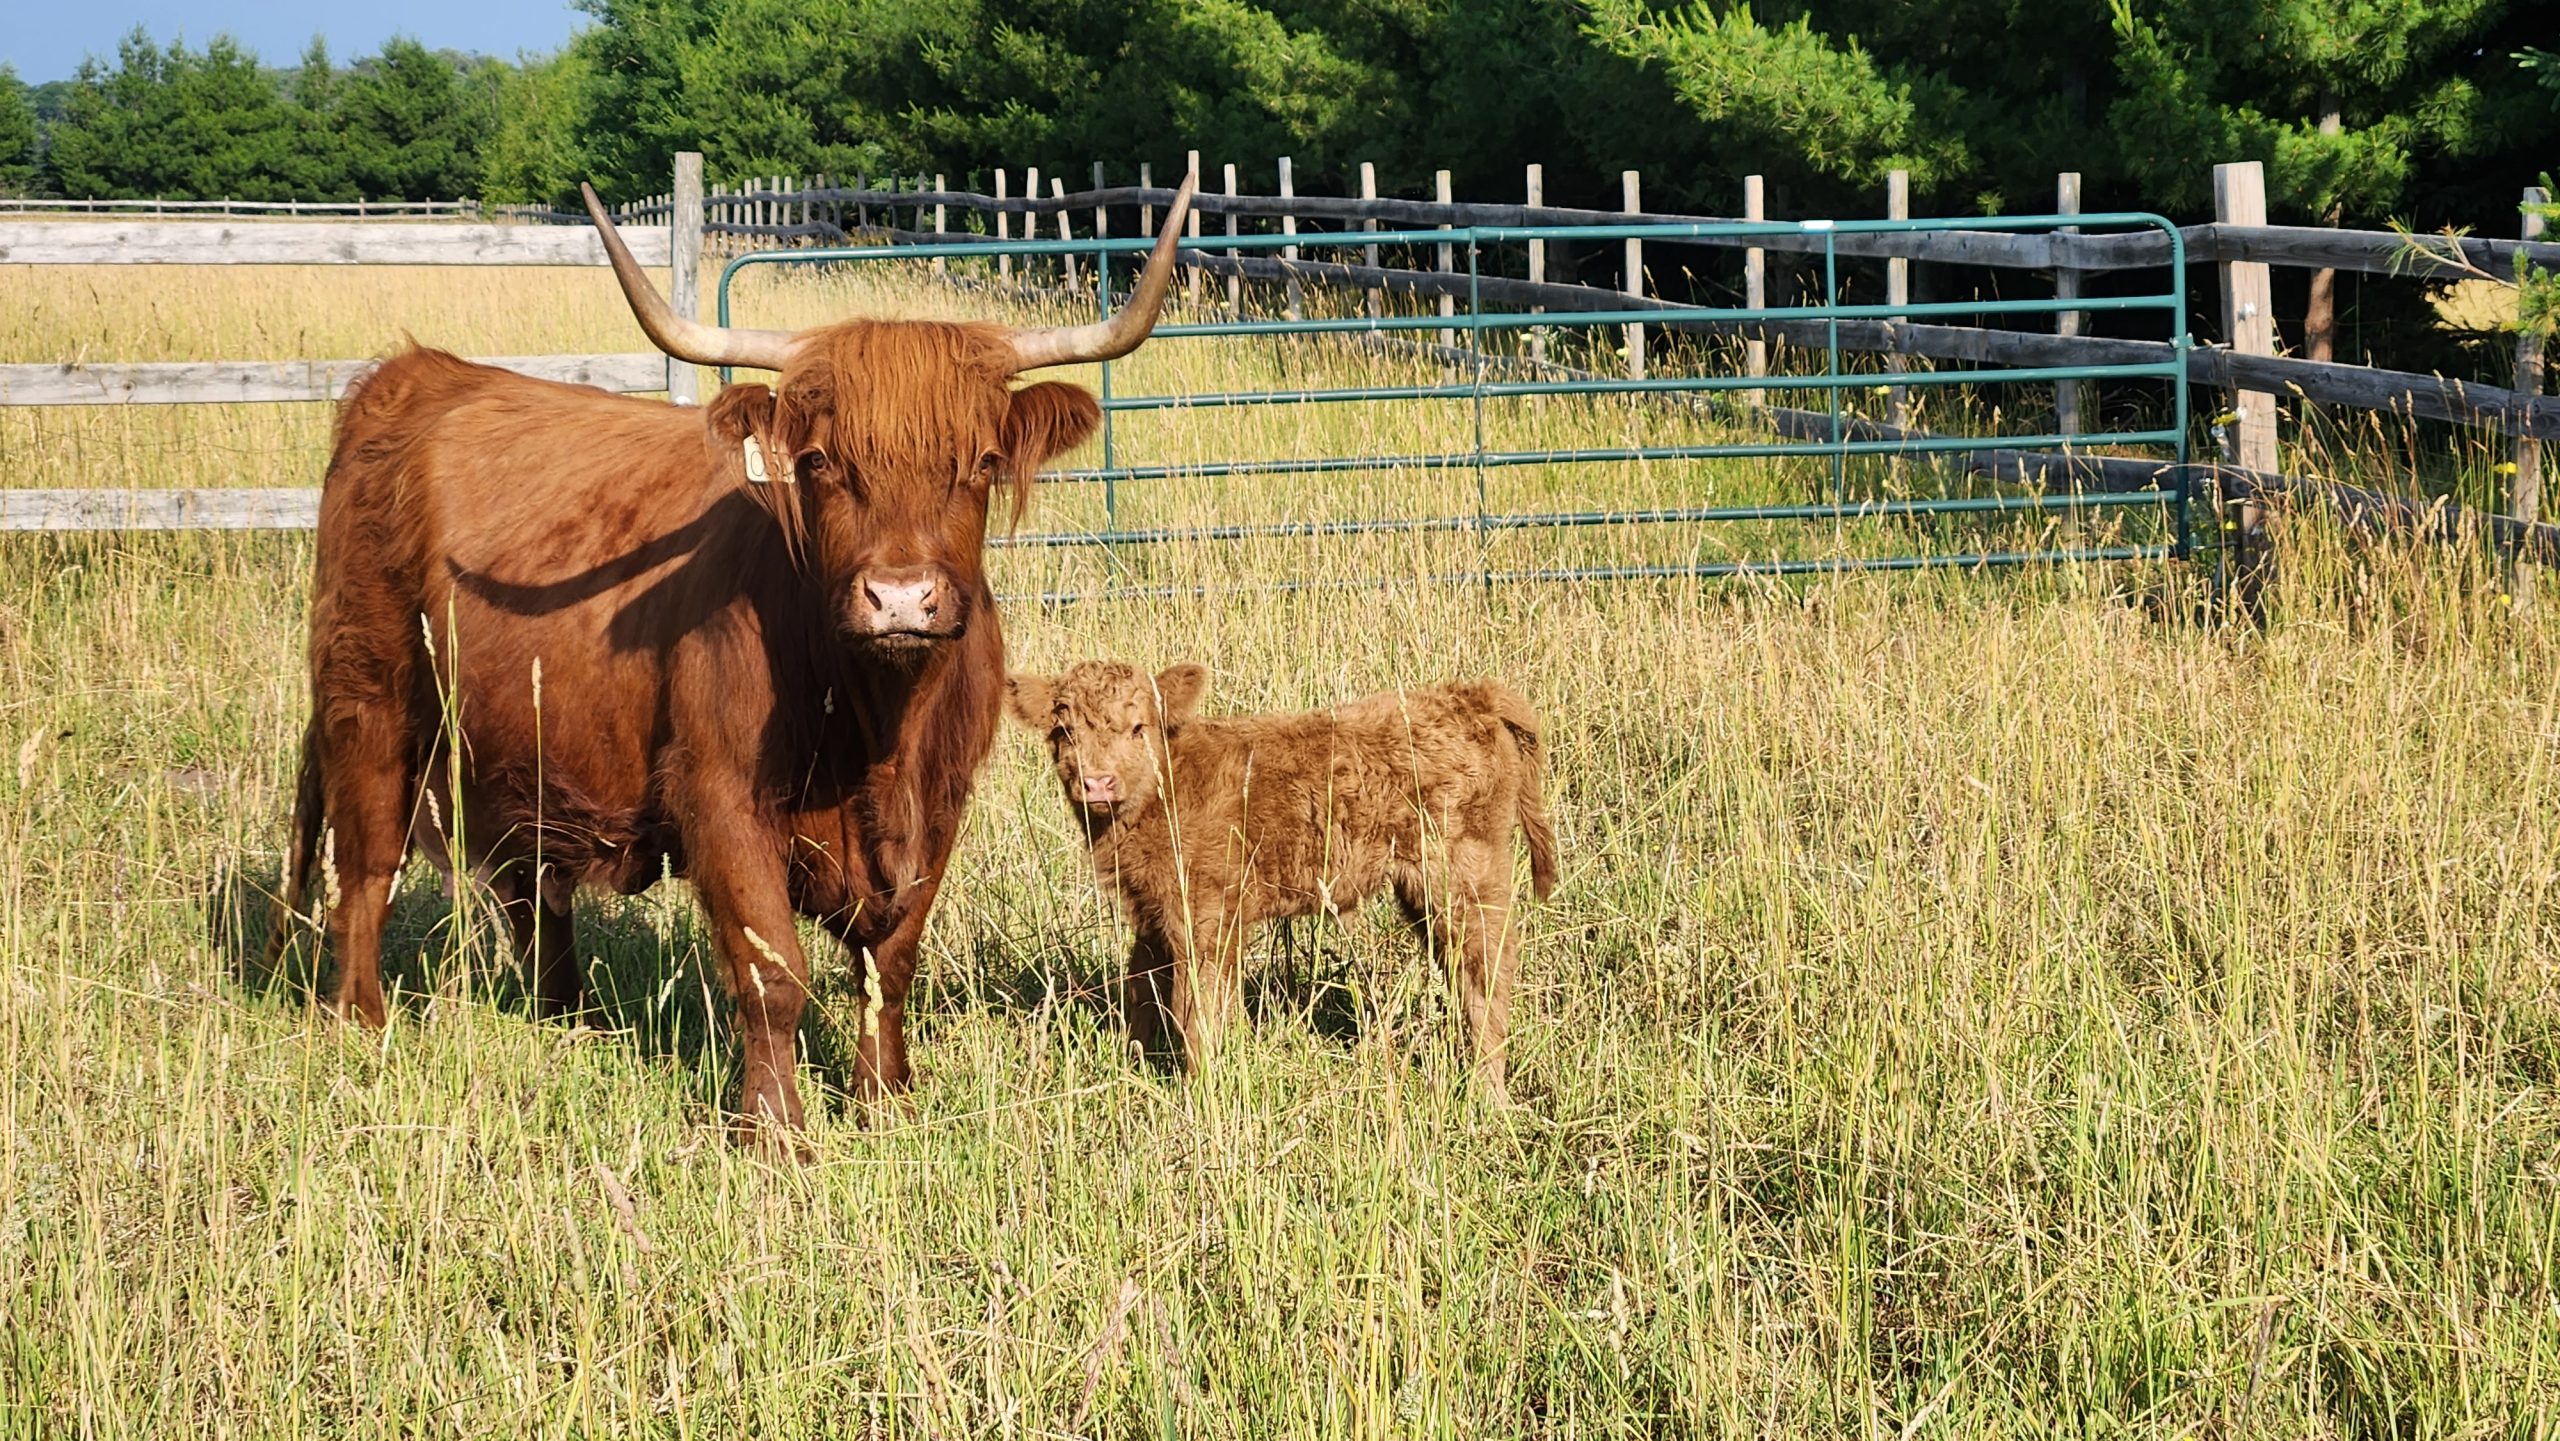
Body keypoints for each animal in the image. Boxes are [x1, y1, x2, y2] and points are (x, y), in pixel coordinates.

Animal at [263, 175, 1200, 1143]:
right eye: (819, 460)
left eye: (978, 461)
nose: (901, 597)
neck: (879, 729)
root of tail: (413, 375)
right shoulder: (721, 797)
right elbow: (773, 971)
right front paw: (777, 1132)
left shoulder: (942, 804)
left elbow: (890, 961)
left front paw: (884, 1100)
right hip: (370, 699)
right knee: (364, 867)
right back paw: (361, 1023)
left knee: (533, 890)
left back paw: (566, 1017)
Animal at [1004, 662, 1557, 1100]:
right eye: (1064, 731)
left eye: (1139, 727)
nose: (1097, 782)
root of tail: (1465, 696)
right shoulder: (1151, 912)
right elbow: (1143, 990)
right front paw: (1134, 1068)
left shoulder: (1207, 917)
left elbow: (1198, 1008)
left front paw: (1199, 1094)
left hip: (1462, 870)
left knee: (1485, 969)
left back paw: (1488, 1092)